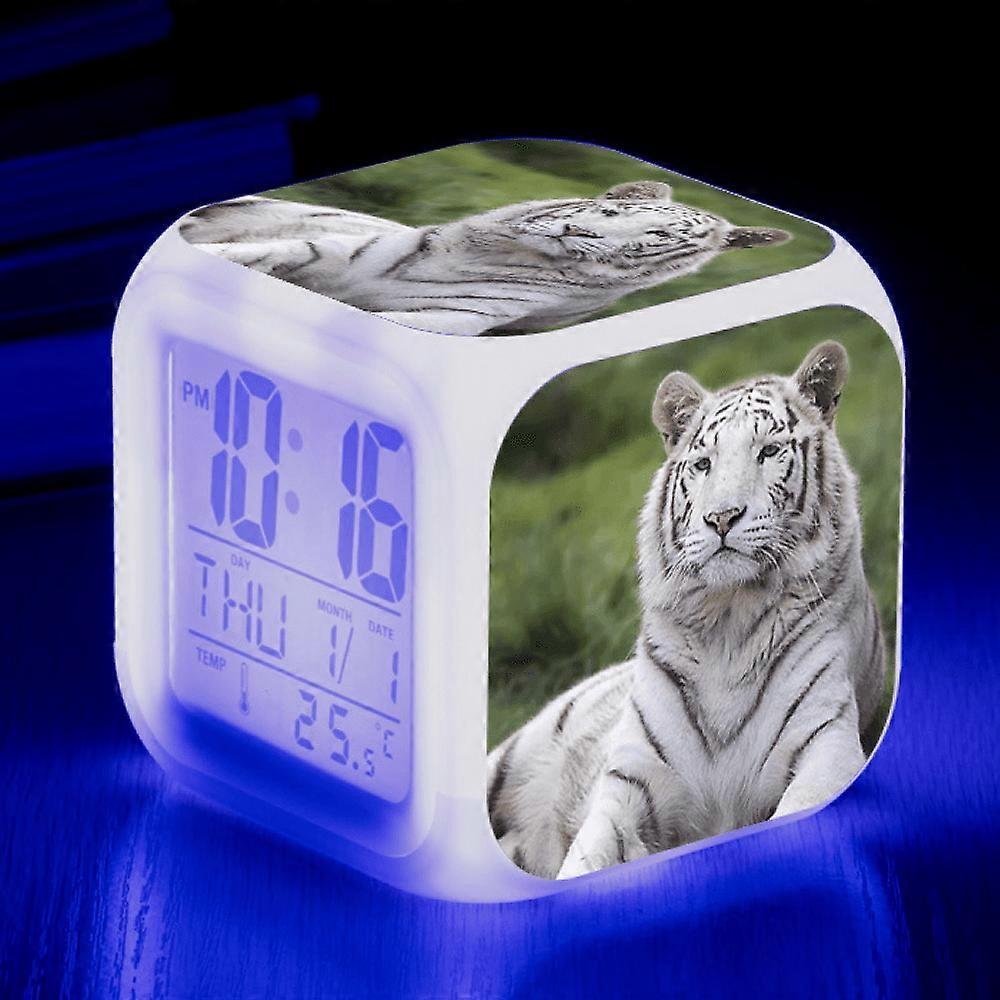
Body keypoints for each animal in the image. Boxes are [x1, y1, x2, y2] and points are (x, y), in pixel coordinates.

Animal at [180, 181, 789, 336]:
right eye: (614, 210)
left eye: (660, 234)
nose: (572, 229)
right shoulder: (334, 252)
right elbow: (257, 253)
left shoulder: (449, 322)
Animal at [487, 341, 887, 879]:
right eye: (702, 464)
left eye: (769, 451)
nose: (721, 518)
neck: (728, 621)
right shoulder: (631, 783)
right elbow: (589, 856)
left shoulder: (827, 750)